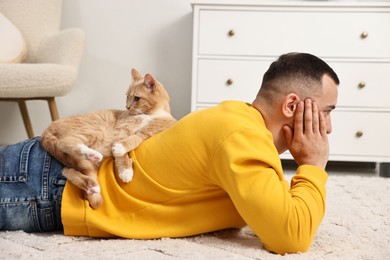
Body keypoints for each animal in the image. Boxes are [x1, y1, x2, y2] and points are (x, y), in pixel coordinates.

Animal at [41, 68, 177, 208]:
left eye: (137, 98)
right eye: (127, 97)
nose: (127, 107)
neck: (151, 115)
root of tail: (47, 129)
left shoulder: (149, 132)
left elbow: (135, 138)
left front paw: (123, 162)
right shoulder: (121, 131)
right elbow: (124, 150)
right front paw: (125, 168)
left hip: (85, 160)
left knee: (69, 171)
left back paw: (91, 186)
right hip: (94, 131)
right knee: (65, 143)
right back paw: (91, 154)